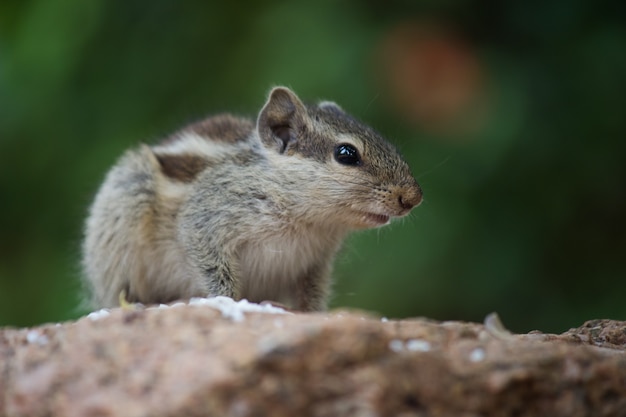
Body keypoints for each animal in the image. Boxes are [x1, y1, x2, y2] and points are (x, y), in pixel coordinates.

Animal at [80, 87, 422, 308]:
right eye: (346, 154)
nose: (414, 197)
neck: (307, 220)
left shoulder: (314, 264)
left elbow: (310, 298)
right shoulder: (205, 222)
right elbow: (213, 269)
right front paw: (228, 302)